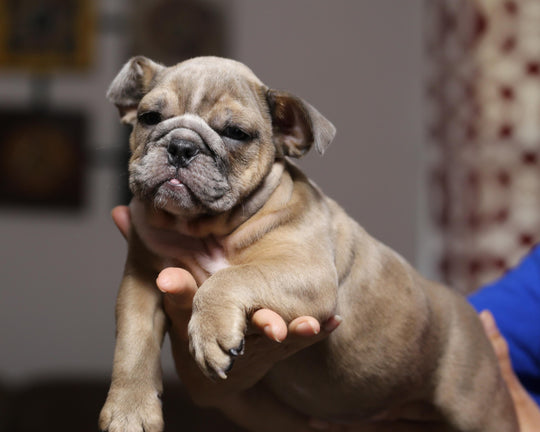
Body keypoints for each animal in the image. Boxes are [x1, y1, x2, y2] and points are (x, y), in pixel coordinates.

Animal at [98, 57, 520, 432]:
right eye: (149, 117)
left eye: (236, 132)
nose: (181, 146)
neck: (207, 230)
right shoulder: (140, 284)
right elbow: (133, 346)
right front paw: (128, 411)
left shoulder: (307, 271)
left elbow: (228, 278)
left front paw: (210, 328)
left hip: (481, 408)